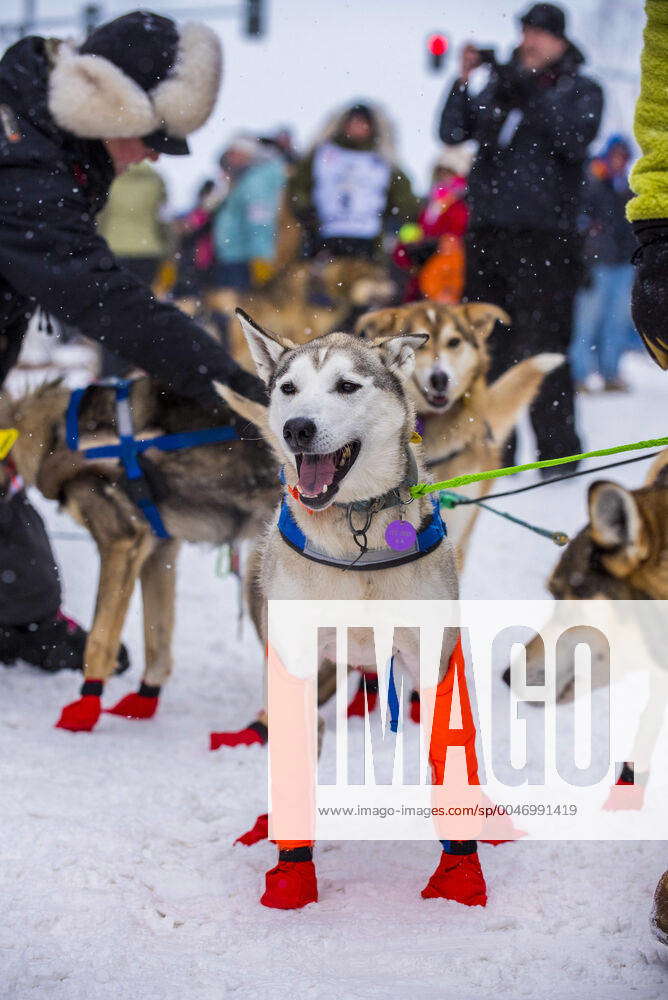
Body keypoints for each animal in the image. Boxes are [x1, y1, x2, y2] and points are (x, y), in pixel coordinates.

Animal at [0, 378, 278, 732]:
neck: (54, 430)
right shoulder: (160, 550)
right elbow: (156, 638)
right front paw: (144, 701)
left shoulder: (121, 542)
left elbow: (99, 642)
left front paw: (84, 709)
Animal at [222, 312, 488, 916]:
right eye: (288, 388)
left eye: (347, 386)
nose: (296, 428)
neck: (356, 529)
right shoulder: (294, 661)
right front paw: (292, 877)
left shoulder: (435, 655)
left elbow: (451, 758)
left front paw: (460, 876)